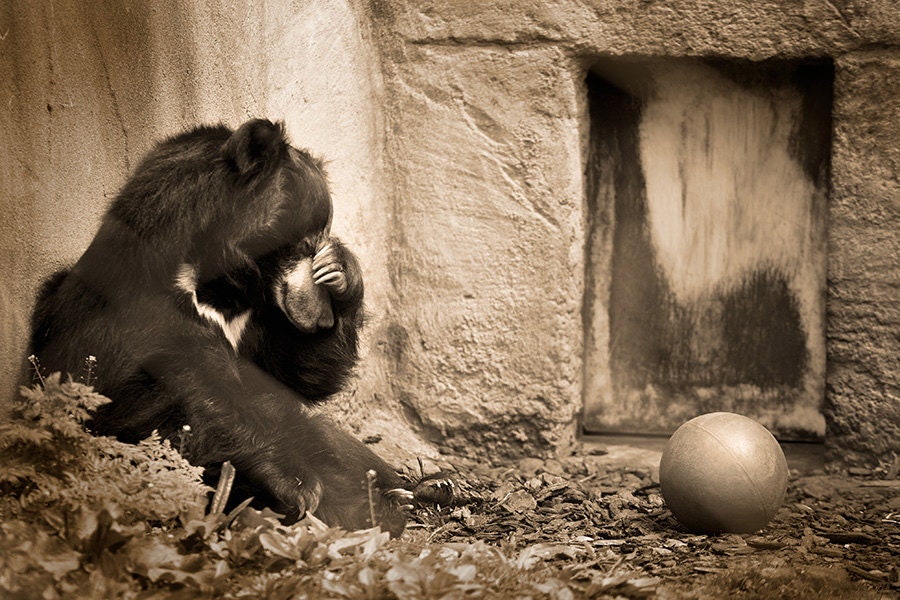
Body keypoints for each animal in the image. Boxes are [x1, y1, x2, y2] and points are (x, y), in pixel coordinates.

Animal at [29, 119, 418, 535]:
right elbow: (159, 404)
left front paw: (340, 271)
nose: (319, 316)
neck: (212, 283)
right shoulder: (129, 314)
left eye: (318, 242)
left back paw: (398, 493)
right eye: (306, 240)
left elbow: (294, 373)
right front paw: (296, 485)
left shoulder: (255, 320)